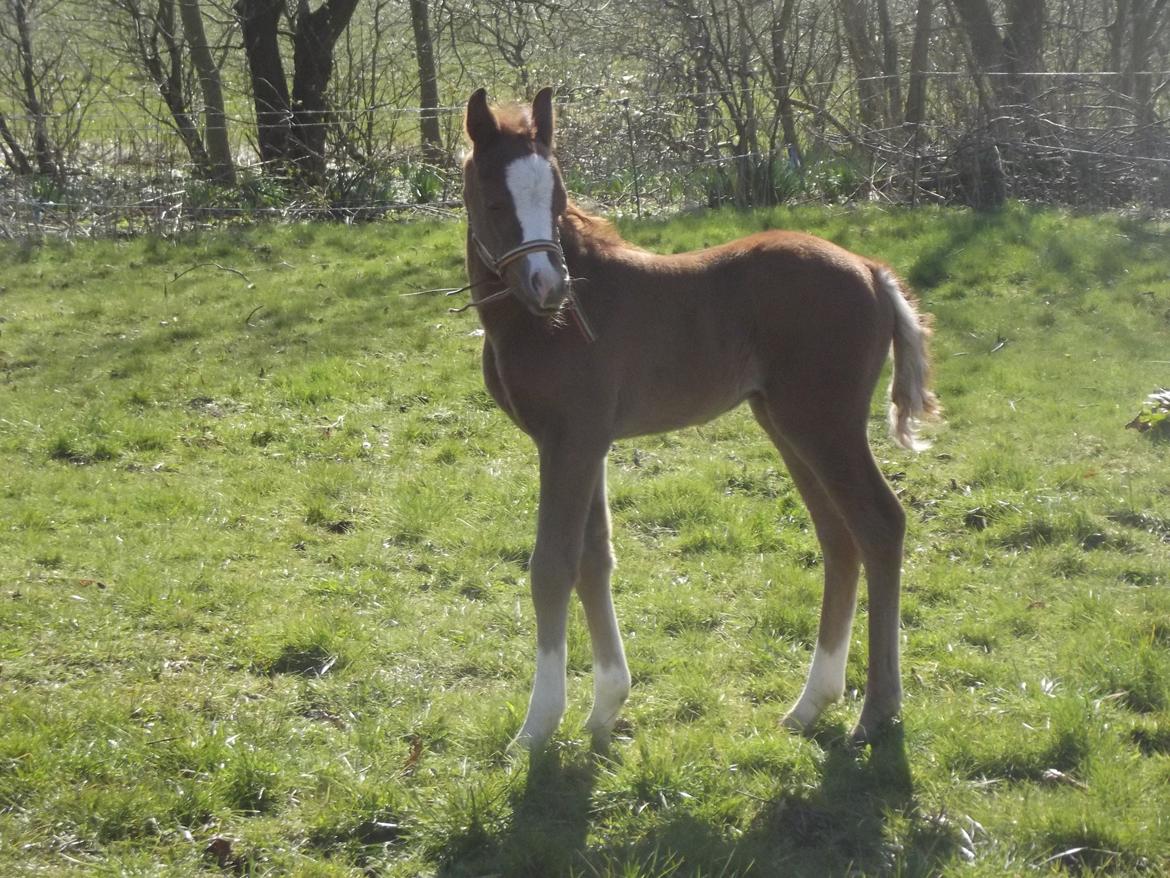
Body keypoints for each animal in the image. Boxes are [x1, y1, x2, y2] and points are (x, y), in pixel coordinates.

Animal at [459, 87, 939, 749]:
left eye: (555, 198)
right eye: (494, 198)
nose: (549, 285)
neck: (548, 322)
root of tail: (873, 271)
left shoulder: (569, 440)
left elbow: (552, 565)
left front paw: (537, 728)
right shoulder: (586, 442)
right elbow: (594, 558)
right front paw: (605, 708)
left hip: (825, 422)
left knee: (879, 524)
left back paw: (877, 711)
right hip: (786, 422)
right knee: (839, 537)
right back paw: (811, 704)